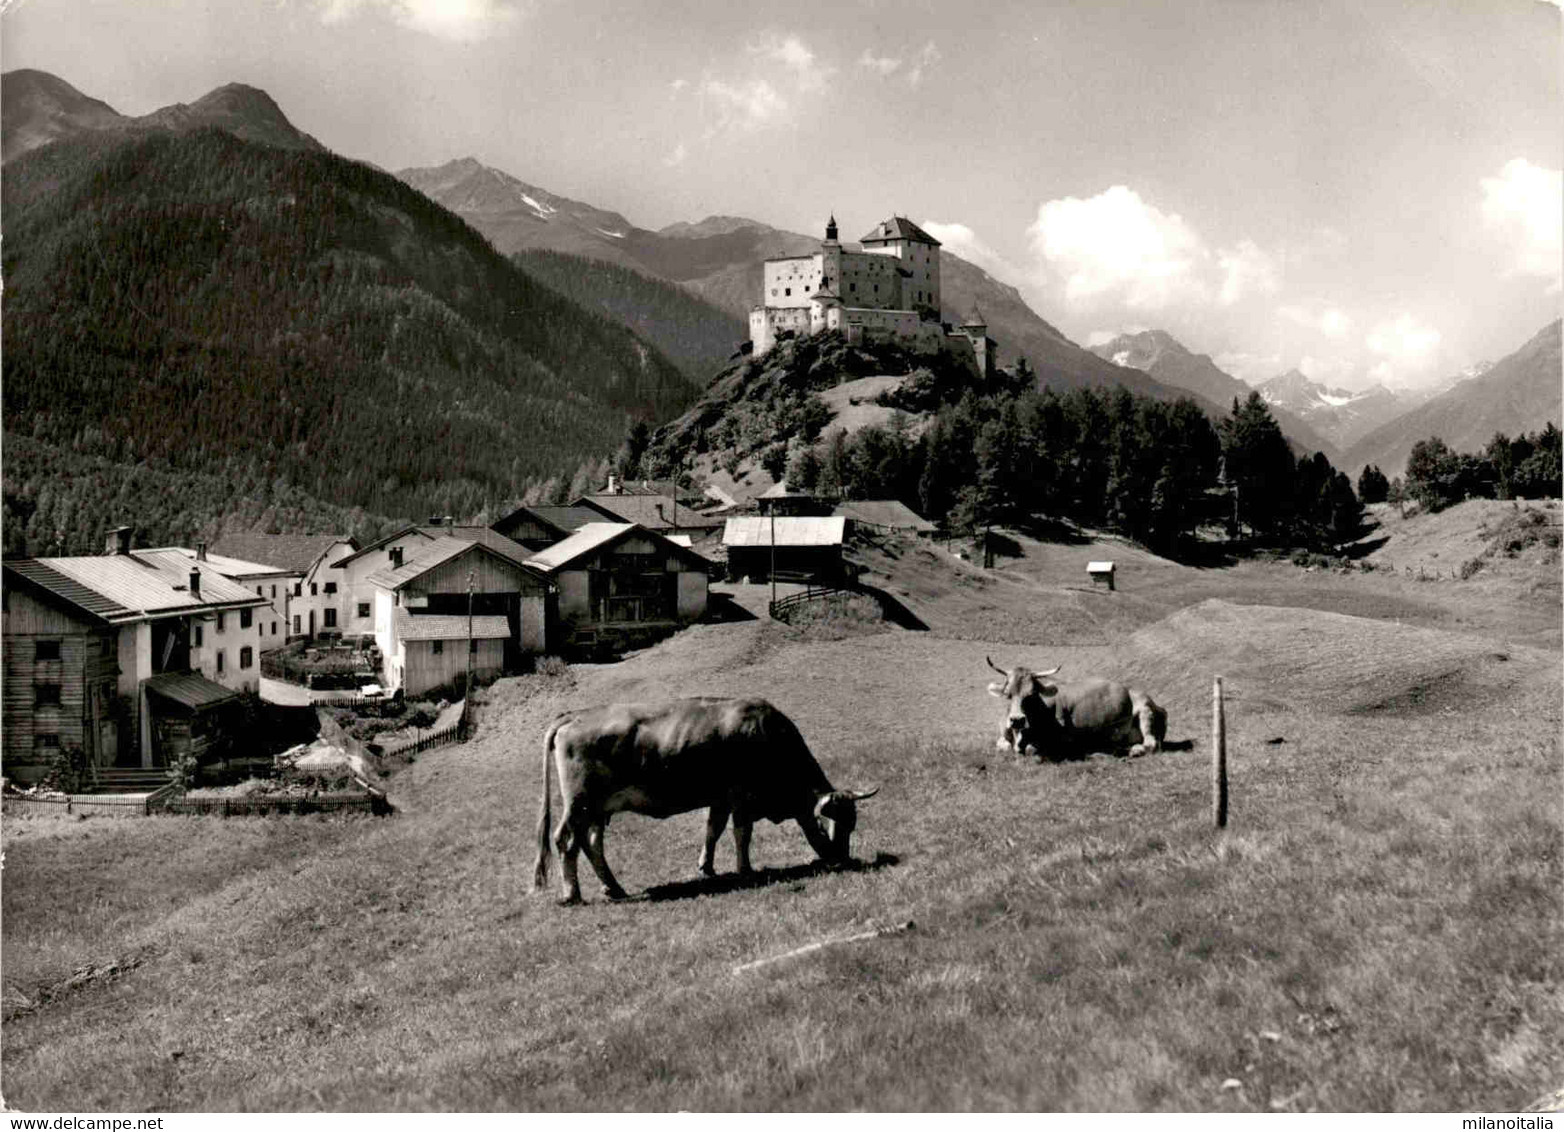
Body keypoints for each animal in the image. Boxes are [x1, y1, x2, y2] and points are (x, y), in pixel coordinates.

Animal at [534, 694, 882, 906]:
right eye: (830, 824)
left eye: (852, 825)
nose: (842, 858)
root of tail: (574, 716)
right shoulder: (741, 796)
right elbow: (742, 833)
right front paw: (745, 870)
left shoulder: (721, 798)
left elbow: (712, 830)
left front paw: (707, 867)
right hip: (579, 803)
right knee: (565, 841)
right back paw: (572, 894)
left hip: (596, 809)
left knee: (592, 844)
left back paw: (614, 887)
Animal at [982, 653, 1169, 759]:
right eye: (1008, 694)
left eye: (1032, 694)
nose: (1017, 720)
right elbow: (1004, 746)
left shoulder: (1063, 739)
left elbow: (1031, 749)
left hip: (1145, 711)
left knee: (1151, 743)